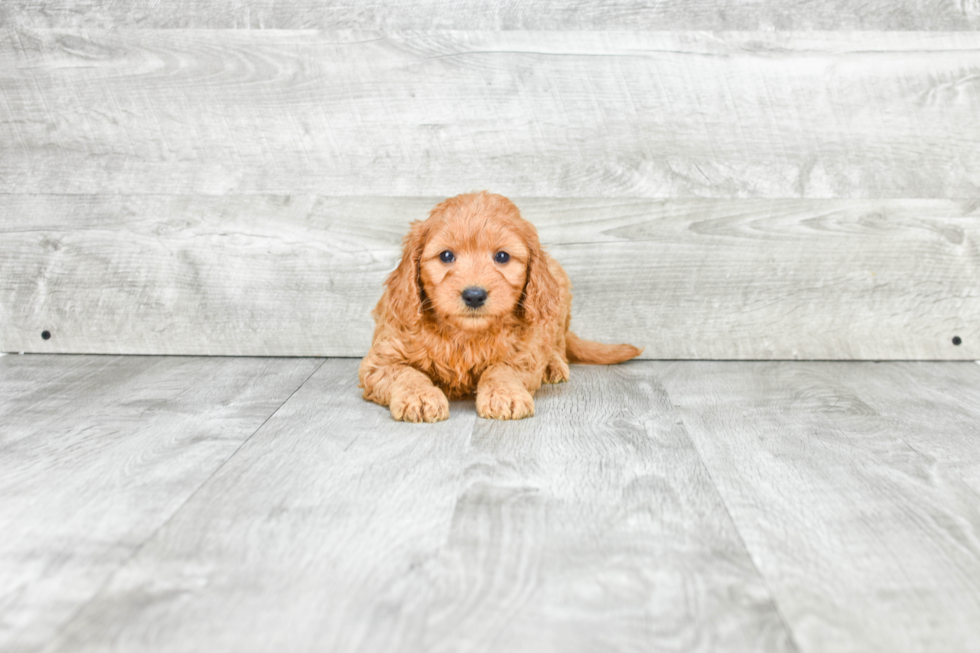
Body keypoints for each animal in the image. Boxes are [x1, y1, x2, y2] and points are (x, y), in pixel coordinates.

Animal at [360, 190, 644, 422]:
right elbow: (406, 374)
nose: (474, 295)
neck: (465, 335)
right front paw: (420, 396)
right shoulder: (380, 360)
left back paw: (552, 364)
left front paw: (504, 394)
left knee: (558, 343)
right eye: (446, 256)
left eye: (502, 257)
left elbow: (500, 369)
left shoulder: (523, 356)